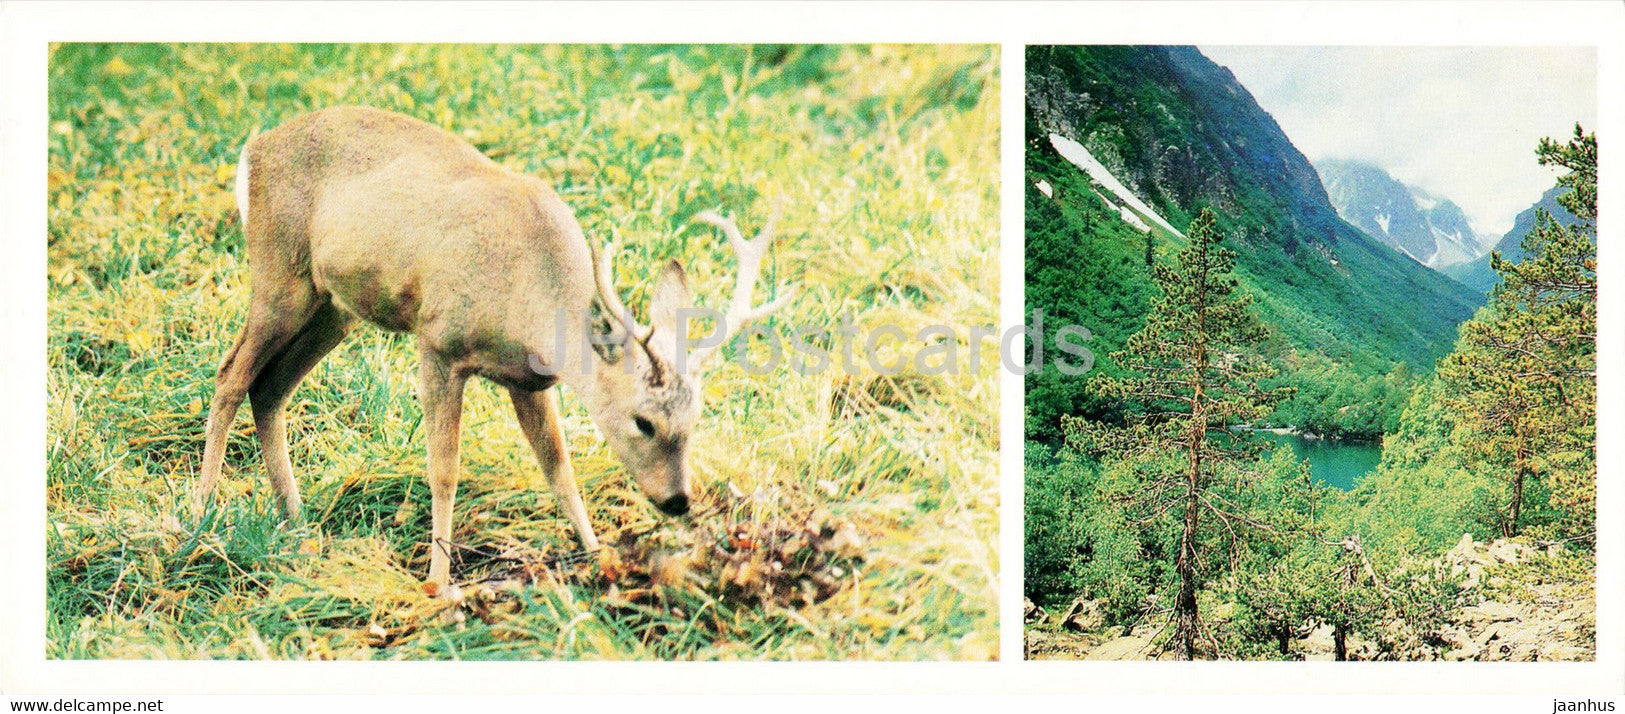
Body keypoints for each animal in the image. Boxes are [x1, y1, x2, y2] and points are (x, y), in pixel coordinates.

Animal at [193, 106, 789, 585]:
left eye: (696, 417)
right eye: (643, 422)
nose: (677, 499)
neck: (529, 296)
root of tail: (253, 151)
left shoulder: (528, 380)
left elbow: (559, 469)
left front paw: (596, 556)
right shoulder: (436, 340)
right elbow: (444, 469)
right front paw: (437, 581)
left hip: (334, 308)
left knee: (270, 388)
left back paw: (298, 522)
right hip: (279, 272)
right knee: (230, 374)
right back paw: (199, 516)